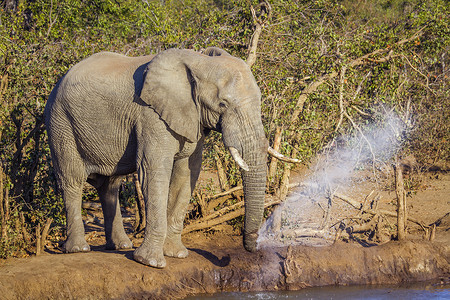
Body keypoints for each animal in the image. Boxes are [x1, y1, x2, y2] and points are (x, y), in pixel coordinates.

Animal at [44, 47, 268, 268]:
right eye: (222, 104)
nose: (251, 244)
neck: (198, 60)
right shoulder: (150, 115)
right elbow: (154, 171)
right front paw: (150, 262)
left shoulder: (191, 118)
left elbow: (186, 173)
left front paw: (176, 254)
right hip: (60, 123)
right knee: (72, 180)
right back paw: (78, 248)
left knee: (111, 185)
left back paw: (120, 245)